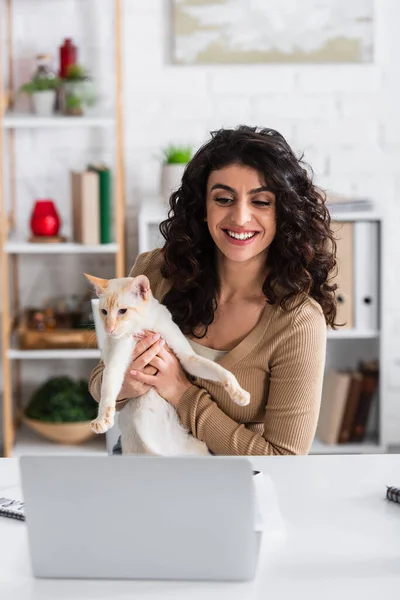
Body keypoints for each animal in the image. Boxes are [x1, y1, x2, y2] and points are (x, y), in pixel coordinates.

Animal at [85, 274, 250, 458]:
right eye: (104, 312)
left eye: (122, 311)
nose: (109, 329)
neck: (144, 326)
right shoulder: (115, 363)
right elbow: (107, 391)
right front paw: (102, 419)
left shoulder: (187, 357)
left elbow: (220, 371)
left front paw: (239, 393)